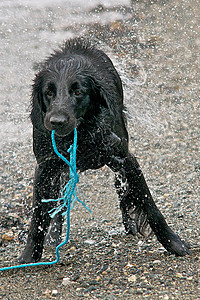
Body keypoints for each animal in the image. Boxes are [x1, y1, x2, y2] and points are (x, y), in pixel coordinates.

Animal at [18, 38, 191, 262]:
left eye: (78, 92)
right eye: (49, 92)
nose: (56, 121)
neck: (81, 134)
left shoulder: (126, 158)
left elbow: (150, 206)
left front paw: (174, 244)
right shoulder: (45, 167)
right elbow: (38, 215)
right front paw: (30, 255)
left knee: (121, 187)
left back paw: (129, 223)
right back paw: (54, 236)